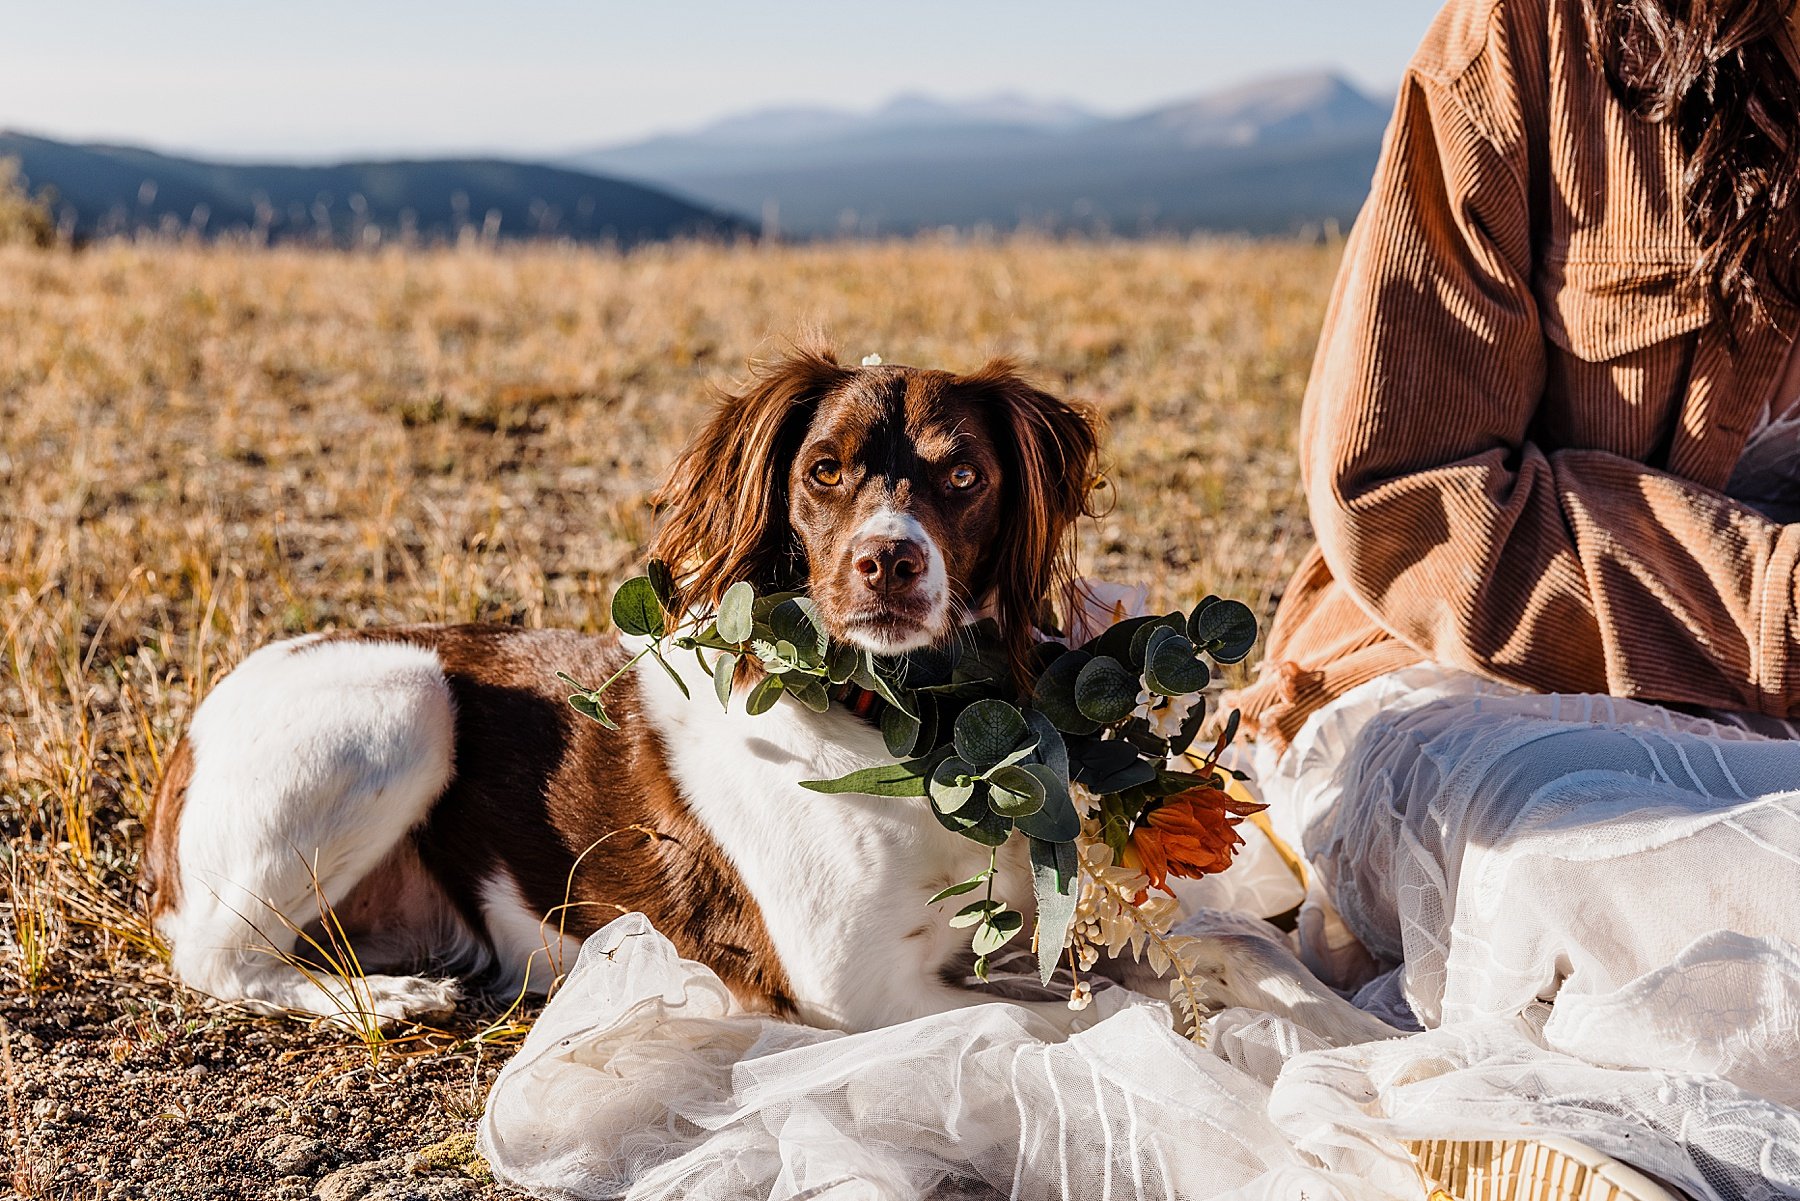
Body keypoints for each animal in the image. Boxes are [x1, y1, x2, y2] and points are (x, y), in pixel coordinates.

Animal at [151, 345, 1389, 1044]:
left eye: (963, 473)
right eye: (823, 471)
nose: (888, 562)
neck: (920, 733)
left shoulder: (1043, 929)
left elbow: (1239, 957)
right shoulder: (862, 992)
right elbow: (1136, 1011)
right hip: (400, 699)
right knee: (213, 955)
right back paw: (384, 999)